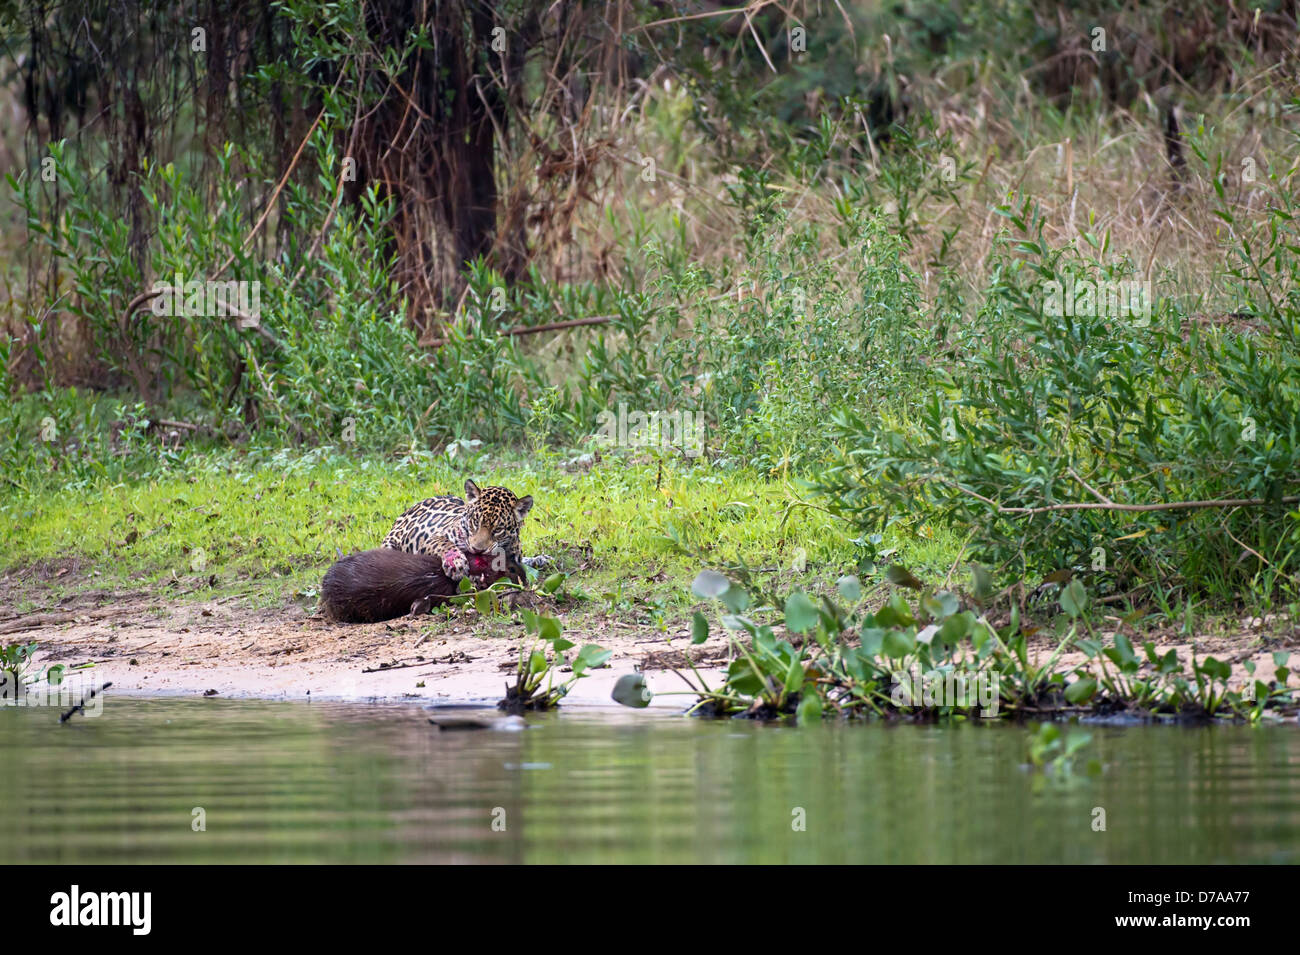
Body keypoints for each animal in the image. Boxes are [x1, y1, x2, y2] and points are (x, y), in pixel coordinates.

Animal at [381, 478, 550, 583]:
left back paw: (540, 559)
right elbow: (444, 544)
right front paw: (457, 564)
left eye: (498, 529)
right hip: (390, 543)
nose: (478, 550)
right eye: (475, 522)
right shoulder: (435, 537)